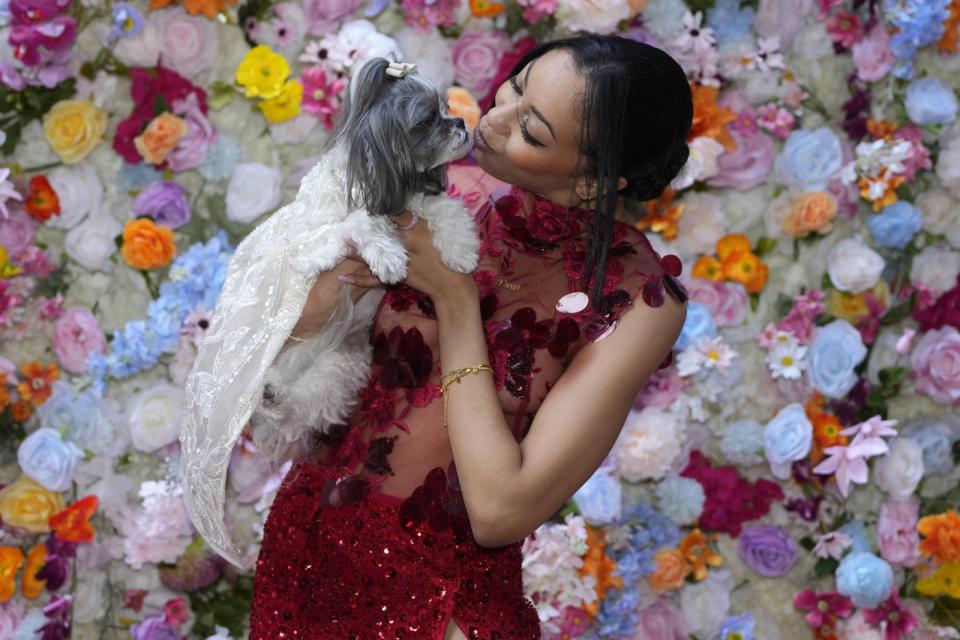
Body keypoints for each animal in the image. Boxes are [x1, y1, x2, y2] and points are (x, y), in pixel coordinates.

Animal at [178, 56, 478, 568]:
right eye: (426, 119)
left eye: (446, 109)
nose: (460, 122)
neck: (376, 185)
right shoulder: (306, 246)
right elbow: (357, 224)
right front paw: (387, 253)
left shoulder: (418, 203)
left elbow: (445, 212)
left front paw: (460, 250)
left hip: (340, 366)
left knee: (304, 409)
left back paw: (281, 402)